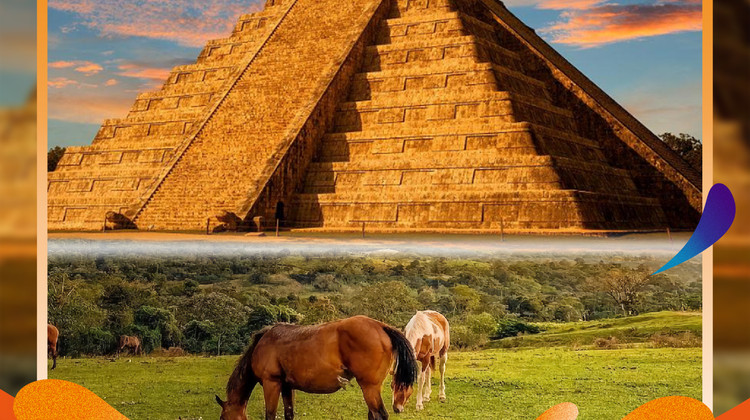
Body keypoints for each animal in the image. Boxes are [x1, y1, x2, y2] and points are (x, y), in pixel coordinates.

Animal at [216, 315, 418, 420]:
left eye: (223, 418)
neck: (264, 343)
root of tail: (381, 326)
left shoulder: (271, 383)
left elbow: (270, 415)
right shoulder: (286, 386)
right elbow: (289, 414)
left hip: (369, 387)